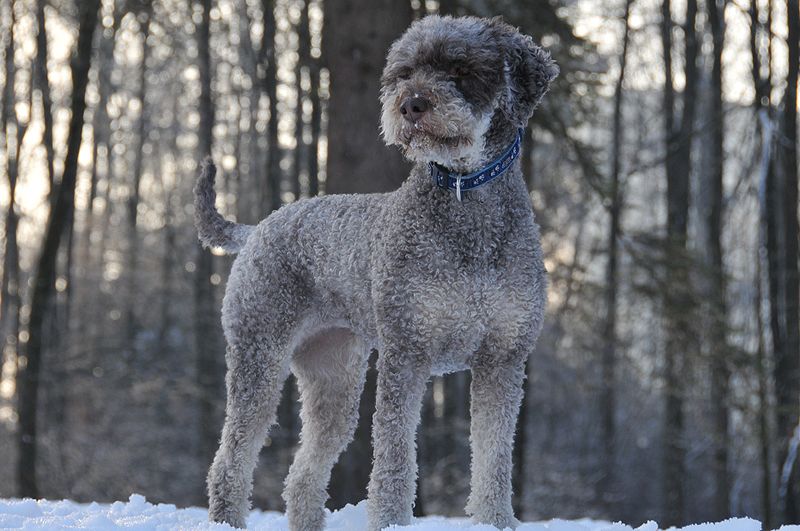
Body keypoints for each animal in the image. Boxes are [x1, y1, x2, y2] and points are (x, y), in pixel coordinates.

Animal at [196, 13, 556, 531]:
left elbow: (493, 458)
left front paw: (496, 521)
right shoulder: (407, 353)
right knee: (231, 458)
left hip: (334, 379)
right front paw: (390, 520)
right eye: (404, 72)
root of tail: (259, 226)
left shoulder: (503, 359)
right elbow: (394, 458)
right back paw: (226, 519)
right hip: (258, 358)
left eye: (460, 69)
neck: (467, 201)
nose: (411, 104)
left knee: (303, 472)